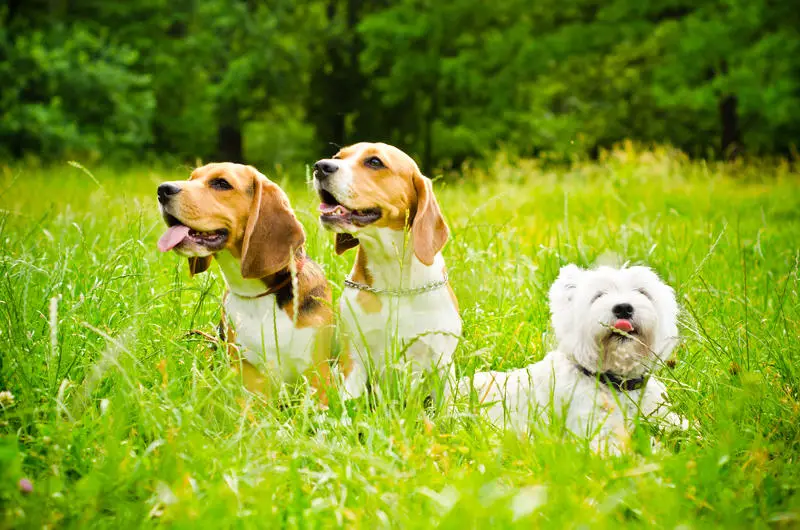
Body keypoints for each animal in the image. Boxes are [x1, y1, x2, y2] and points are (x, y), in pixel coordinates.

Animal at [156, 163, 334, 402]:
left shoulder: (317, 376)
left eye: (221, 183)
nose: (162, 189)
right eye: (191, 178)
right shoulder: (249, 378)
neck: (257, 294)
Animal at [314, 142, 462, 398]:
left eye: (374, 162)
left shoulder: (440, 362)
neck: (396, 286)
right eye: (338, 157)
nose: (320, 166)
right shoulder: (353, 359)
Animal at [460, 262, 684, 450]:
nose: (623, 308)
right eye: (598, 296)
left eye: (643, 292)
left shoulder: (659, 413)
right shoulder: (592, 428)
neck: (616, 384)